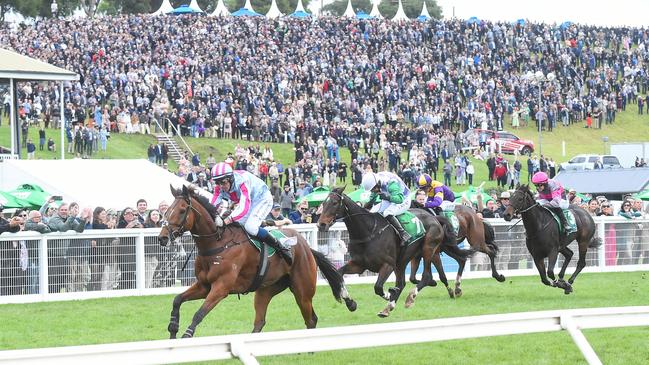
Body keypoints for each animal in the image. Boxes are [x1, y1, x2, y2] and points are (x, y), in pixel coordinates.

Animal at [159, 185, 356, 338]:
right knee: (259, 322)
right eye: (166, 211)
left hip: (303, 290)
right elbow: (177, 300)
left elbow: (199, 313)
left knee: (311, 319)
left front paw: (186, 335)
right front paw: (173, 329)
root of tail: (307, 247)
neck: (217, 243)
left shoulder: (221, 287)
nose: (162, 238)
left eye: (182, 211)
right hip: (265, 290)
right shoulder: (204, 285)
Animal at [316, 188, 464, 316]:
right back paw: (388, 307)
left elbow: (378, 287)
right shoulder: (359, 265)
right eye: (323, 203)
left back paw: (410, 297)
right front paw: (350, 302)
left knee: (426, 276)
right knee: (403, 283)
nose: (321, 224)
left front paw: (389, 295)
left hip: (429, 248)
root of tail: (434, 218)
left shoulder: (387, 265)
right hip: (403, 260)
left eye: (334, 203)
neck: (368, 232)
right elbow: (339, 274)